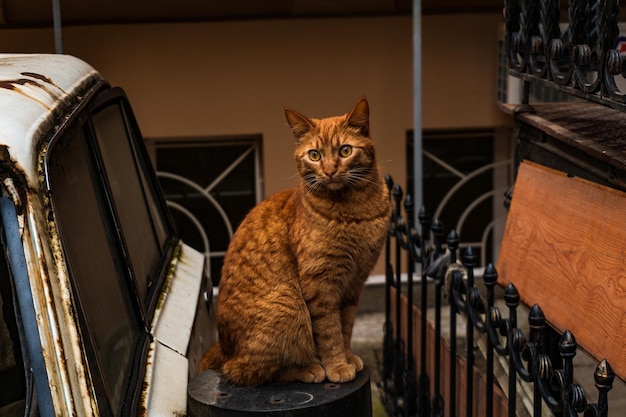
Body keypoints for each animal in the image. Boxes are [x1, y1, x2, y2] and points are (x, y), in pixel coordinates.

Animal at [197, 99, 388, 386]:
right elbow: (329, 332)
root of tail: (223, 347)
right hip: (288, 305)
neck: (356, 212)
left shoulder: (354, 284)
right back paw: (308, 368)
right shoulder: (321, 285)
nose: (329, 170)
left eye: (345, 150)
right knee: (247, 370)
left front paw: (347, 357)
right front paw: (337, 365)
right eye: (315, 155)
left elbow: (345, 327)